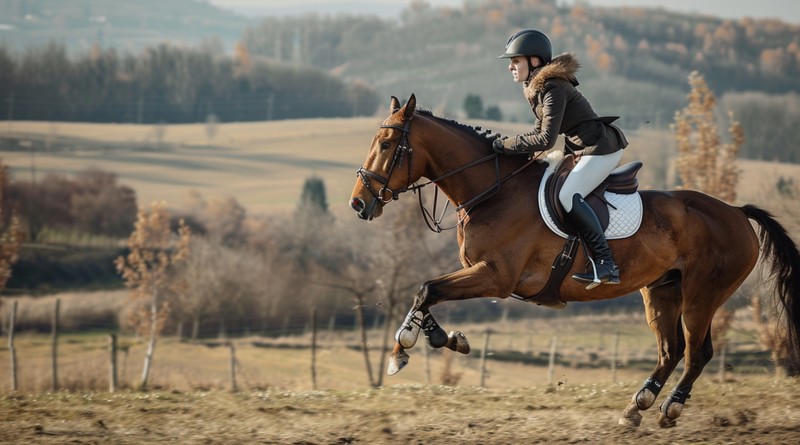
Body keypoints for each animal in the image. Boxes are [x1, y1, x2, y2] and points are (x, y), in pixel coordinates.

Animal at [348, 93, 800, 426]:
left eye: (387, 145)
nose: (358, 204)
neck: (492, 191)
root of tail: (736, 212)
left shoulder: (496, 277)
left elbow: (428, 288)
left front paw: (403, 348)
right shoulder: (478, 273)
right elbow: (428, 291)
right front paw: (442, 338)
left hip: (701, 296)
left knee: (696, 352)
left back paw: (670, 407)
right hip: (661, 291)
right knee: (669, 351)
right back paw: (637, 406)